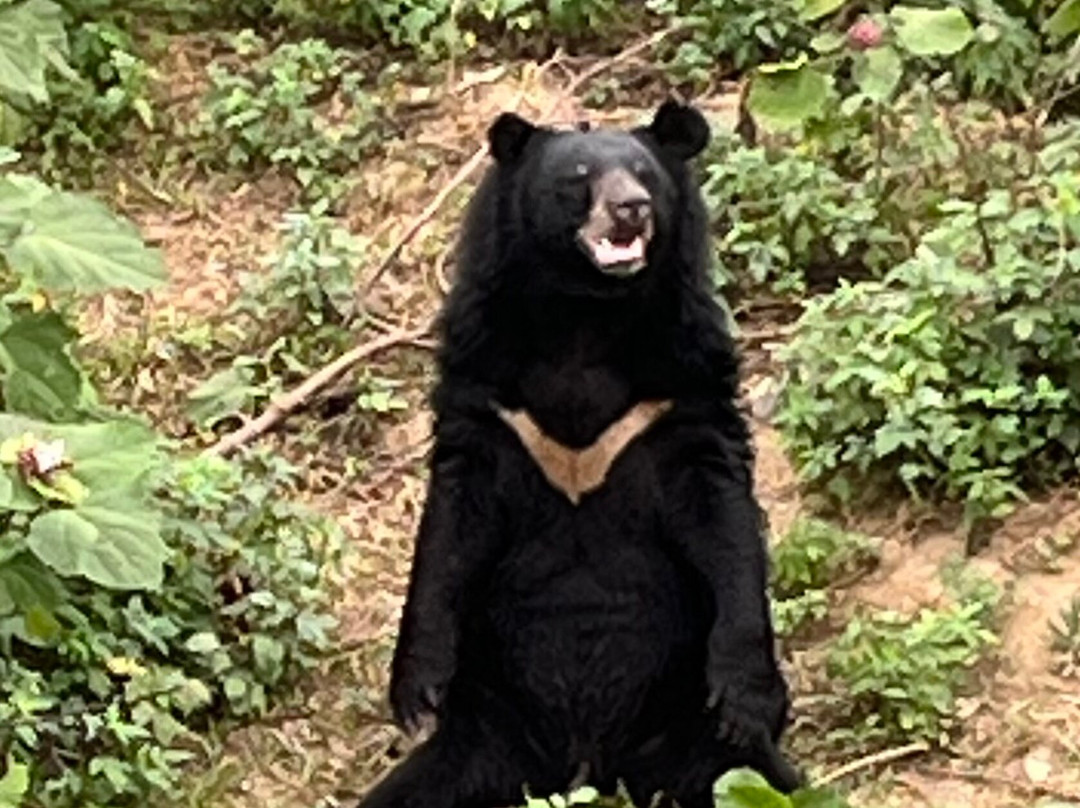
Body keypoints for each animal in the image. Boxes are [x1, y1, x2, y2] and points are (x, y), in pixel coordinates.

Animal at [358, 100, 800, 808]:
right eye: (580, 176)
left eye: (644, 173)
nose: (632, 209)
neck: (585, 316)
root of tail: (587, 764)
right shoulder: (486, 388)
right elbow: (449, 532)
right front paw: (417, 692)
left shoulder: (681, 385)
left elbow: (724, 522)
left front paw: (748, 697)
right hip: (484, 734)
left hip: (686, 732)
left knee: (753, 779)